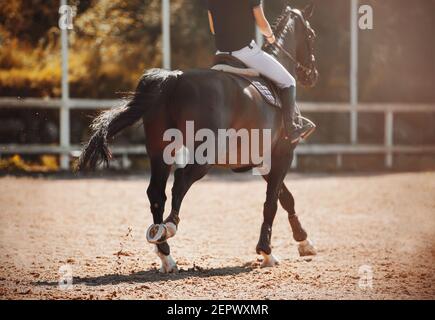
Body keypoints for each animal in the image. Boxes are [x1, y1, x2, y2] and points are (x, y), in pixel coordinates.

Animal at [76, 3, 320, 272]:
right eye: (311, 36)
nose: (313, 74)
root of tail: (174, 78)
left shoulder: (262, 159)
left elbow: (286, 198)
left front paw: (304, 242)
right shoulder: (283, 153)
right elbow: (272, 202)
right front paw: (267, 251)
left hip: (160, 150)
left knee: (156, 192)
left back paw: (165, 253)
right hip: (205, 155)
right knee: (181, 181)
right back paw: (169, 227)